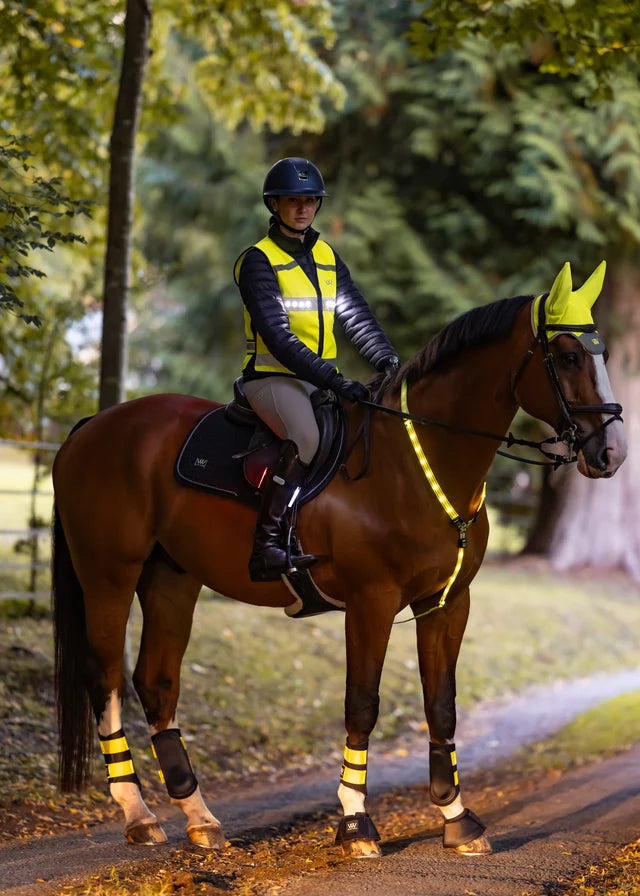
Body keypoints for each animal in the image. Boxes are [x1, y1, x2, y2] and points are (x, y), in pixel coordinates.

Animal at [51, 261, 626, 858]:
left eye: (601, 351)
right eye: (567, 356)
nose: (610, 452)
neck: (414, 463)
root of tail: (94, 426)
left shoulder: (446, 603)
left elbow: (441, 705)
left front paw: (457, 817)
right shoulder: (372, 603)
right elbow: (362, 703)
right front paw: (355, 822)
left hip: (172, 579)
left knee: (156, 682)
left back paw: (199, 817)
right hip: (109, 577)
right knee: (106, 678)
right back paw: (137, 813)